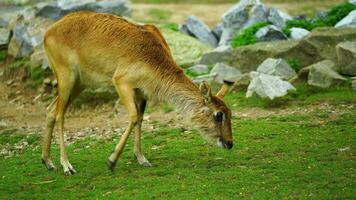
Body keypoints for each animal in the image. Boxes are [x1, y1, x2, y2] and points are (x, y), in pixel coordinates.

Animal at [41, 11, 234, 176]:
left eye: (230, 113)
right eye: (219, 114)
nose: (230, 143)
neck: (152, 58)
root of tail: (47, 33)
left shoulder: (141, 92)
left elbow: (140, 119)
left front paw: (141, 158)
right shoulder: (121, 82)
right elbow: (134, 116)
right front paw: (111, 161)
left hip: (79, 84)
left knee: (51, 110)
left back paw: (48, 162)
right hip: (66, 77)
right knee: (60, 115)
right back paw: (67, 166)